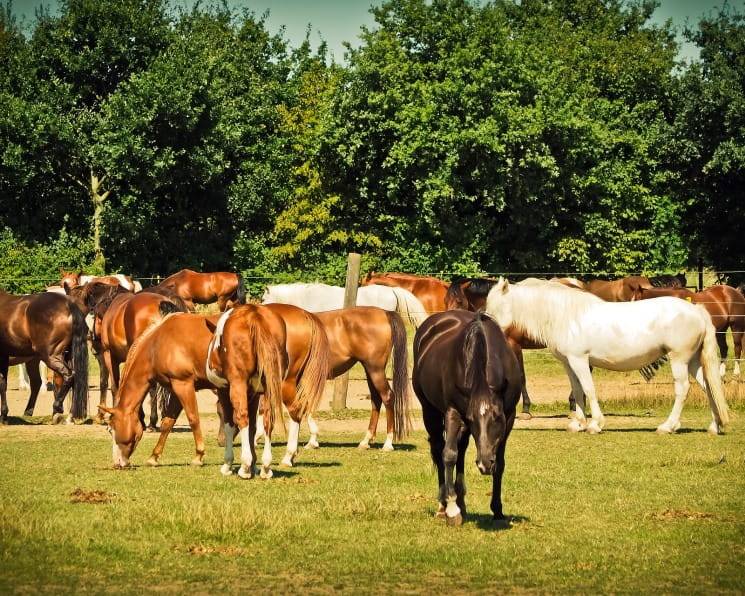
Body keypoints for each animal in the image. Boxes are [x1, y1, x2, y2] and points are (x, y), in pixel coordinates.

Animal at [208, 302, 326, 480]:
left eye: (218, 412)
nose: (219, 441)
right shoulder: (255, 393)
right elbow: (253, 425)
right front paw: (254, 464)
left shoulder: (224, 389)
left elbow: (233, 423)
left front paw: (230, 464)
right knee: (276, 416)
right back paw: (268, 465)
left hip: (264, 384)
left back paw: (255, 464)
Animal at [410, 310, 520, 524]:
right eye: (472, 418)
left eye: (497, 418)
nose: (484, 463)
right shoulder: (454, 413)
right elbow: (449, 455)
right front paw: (452, 508)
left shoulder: (510, 416)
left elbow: (500, 463)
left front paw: (497, 510)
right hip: (430, 411)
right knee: (440, 449)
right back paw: (444, 505)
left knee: (461, 450)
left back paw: (461, 502)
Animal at [486, 278, 728, 436]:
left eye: (496, 306)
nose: (486, 327)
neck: (566, 316)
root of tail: (697, 311)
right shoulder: (569, 364)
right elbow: (577, 391)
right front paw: (578, 424)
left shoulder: (580, 360)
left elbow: (589, 389)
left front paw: (595, 424)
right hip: (693, 361)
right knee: (709, 386)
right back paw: (714, 426)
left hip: (679, 359)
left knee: (682, 389)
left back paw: (667, 426)